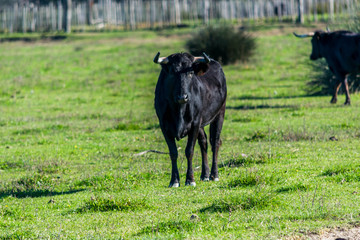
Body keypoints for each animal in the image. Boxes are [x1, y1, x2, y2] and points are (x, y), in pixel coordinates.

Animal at [153, 52, 226, 188]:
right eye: (172, 72)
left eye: (191, 72)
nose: (183, 97)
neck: (179, 110)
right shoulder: (164, 126)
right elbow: (173, 152)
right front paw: (174, 181)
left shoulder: (195, 124)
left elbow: (189, 151)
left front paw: (190, 179)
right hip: (201, 124)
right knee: (204, 142)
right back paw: (205, 175)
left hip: (219, 114)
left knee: (215, 142)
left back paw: (214, 175)